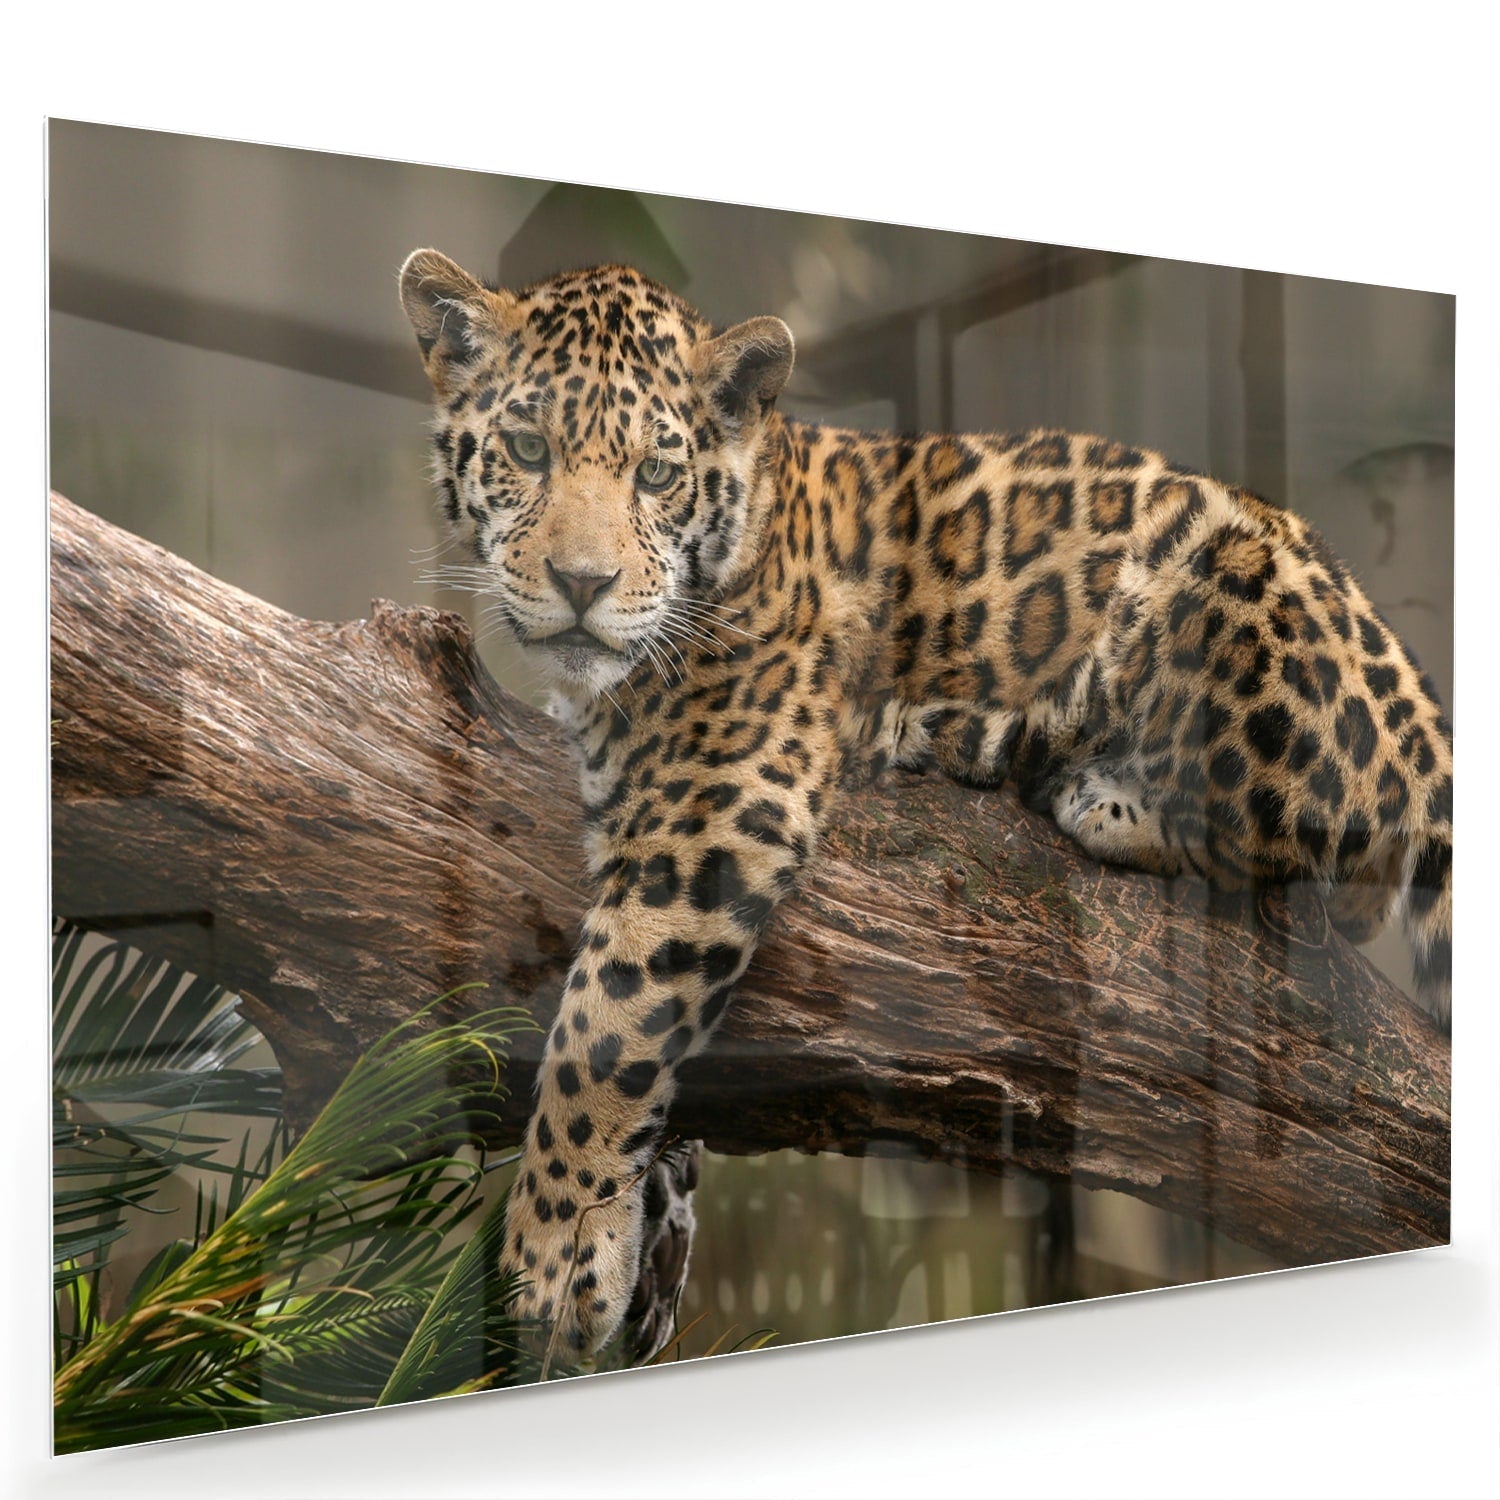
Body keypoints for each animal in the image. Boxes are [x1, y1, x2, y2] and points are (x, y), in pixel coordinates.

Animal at [398, 248, 1453, 1361]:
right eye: (526, 450)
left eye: (656, 473)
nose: (582, 582)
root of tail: (1425, 718)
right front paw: (648, 1242)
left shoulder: (717, 800)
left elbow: (607, 1020)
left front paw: (555, 1248)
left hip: (1223, 578)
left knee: (1312, 846)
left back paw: (1058, 769)